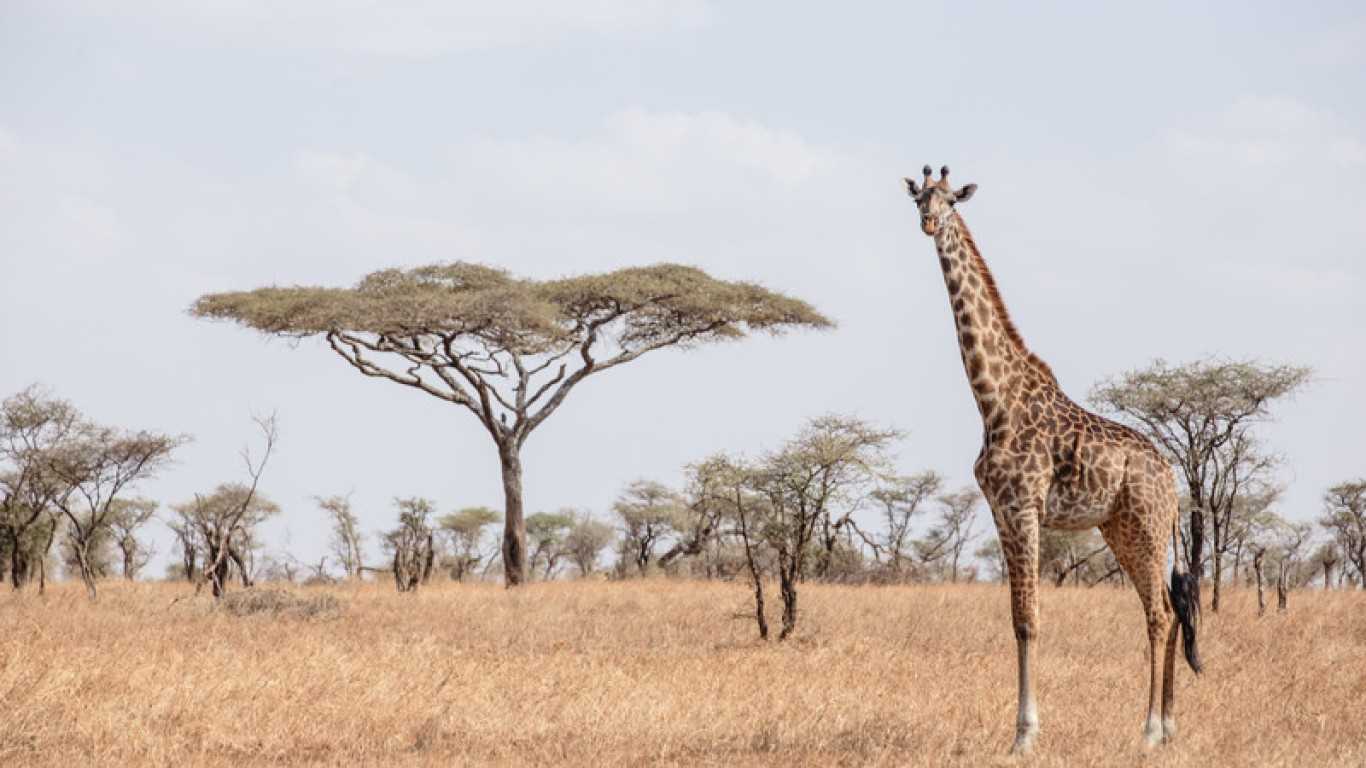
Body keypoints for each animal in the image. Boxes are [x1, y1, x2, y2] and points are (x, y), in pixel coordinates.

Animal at [901, 166, 1202, 748]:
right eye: (918, 198)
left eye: (951, 200)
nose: (928, 222)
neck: (993, 398)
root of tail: (1172, 480)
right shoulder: (1001, 511)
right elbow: (1016, 618)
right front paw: (1021, 730)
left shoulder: (1023, 507)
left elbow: (1029, 619)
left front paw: (1025, 735)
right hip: (1121, 529)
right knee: (1168, 609)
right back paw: (1170, 727)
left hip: (1147, 527)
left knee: (1158, 613)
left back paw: (1150, 730)